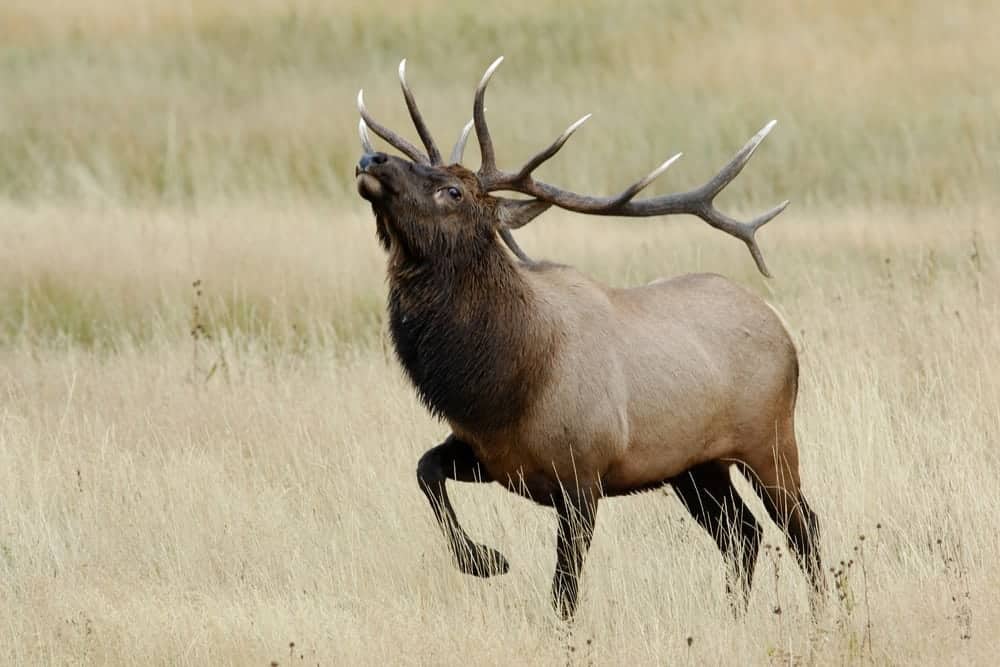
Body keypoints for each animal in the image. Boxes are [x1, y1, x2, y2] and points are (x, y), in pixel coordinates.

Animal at [356, 58, 824, 620]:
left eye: (454, 191)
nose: (372, 157)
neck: (505, 385)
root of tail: (783, 332)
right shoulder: (491, 456)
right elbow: (425, 470)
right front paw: (486, 560)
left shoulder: (583, 477)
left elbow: (563, 594)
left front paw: (499, 569)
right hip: (696, 468)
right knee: (743, 533)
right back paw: (732, 617)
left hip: (768, 439)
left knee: (803, 527)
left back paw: (825, 615)